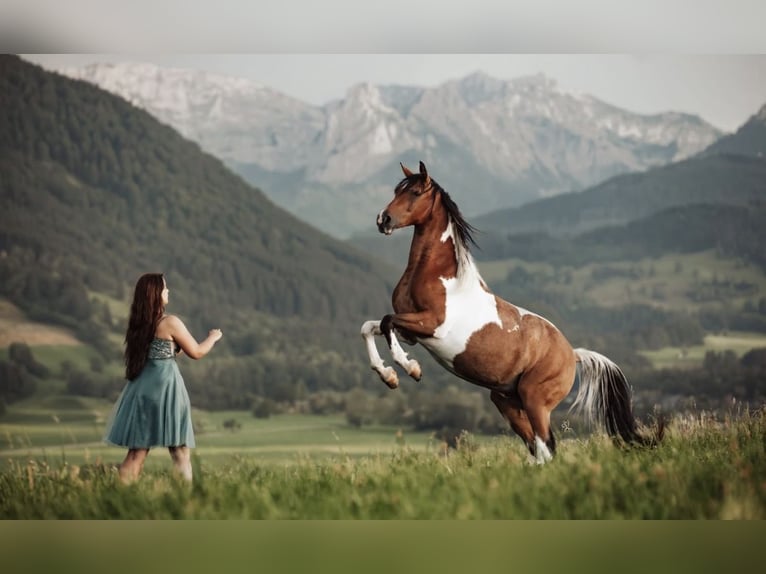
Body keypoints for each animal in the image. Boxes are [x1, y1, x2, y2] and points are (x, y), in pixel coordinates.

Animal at [360, 161, 661, 463]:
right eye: (396, 191)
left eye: (415, 192)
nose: (383, 220)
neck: (440, 276)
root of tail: (572, 354)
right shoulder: (411, 333)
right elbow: (370, 327)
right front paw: (388, 375)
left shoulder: (431, 326)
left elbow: (386, 322)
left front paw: (410, 369)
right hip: (507, 402)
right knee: (537, 448)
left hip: (535, 400)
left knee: (547, 446)